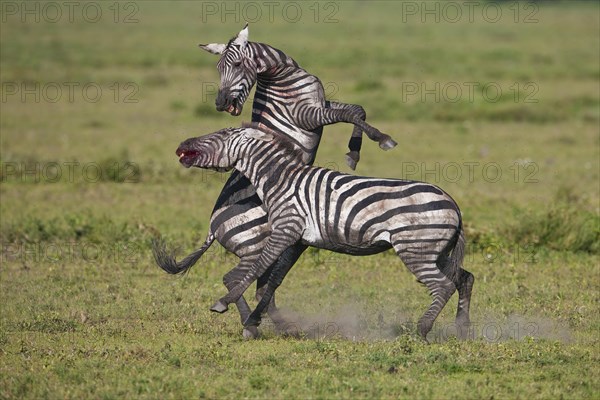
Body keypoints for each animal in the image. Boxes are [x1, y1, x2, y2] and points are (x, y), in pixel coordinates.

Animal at [155, 23, 398, 332]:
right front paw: (381, 140)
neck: (284, 76)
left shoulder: (321, 103)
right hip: (257, 244)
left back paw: (270, 323)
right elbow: (351, 113)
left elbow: (357, 109)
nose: (221, 103)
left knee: (259, 283)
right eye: (218, 68)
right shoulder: (307, 115)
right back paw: (256, 323)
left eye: (235, 65)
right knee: (239, 278)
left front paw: (354, 153)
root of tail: (213, 226)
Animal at [172, 126, 474, 340]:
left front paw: (225, 303)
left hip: (415, 248)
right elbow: (270, 280)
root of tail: (453, 203)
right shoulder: (295, 239)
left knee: (443, 285)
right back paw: (462, 329)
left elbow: (258, 267)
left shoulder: (287, 228)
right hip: (436, 251)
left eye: (221, 134)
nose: (181, 144)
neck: (280, 180)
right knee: (464, 278)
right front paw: (256, 320)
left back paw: (421, 330)